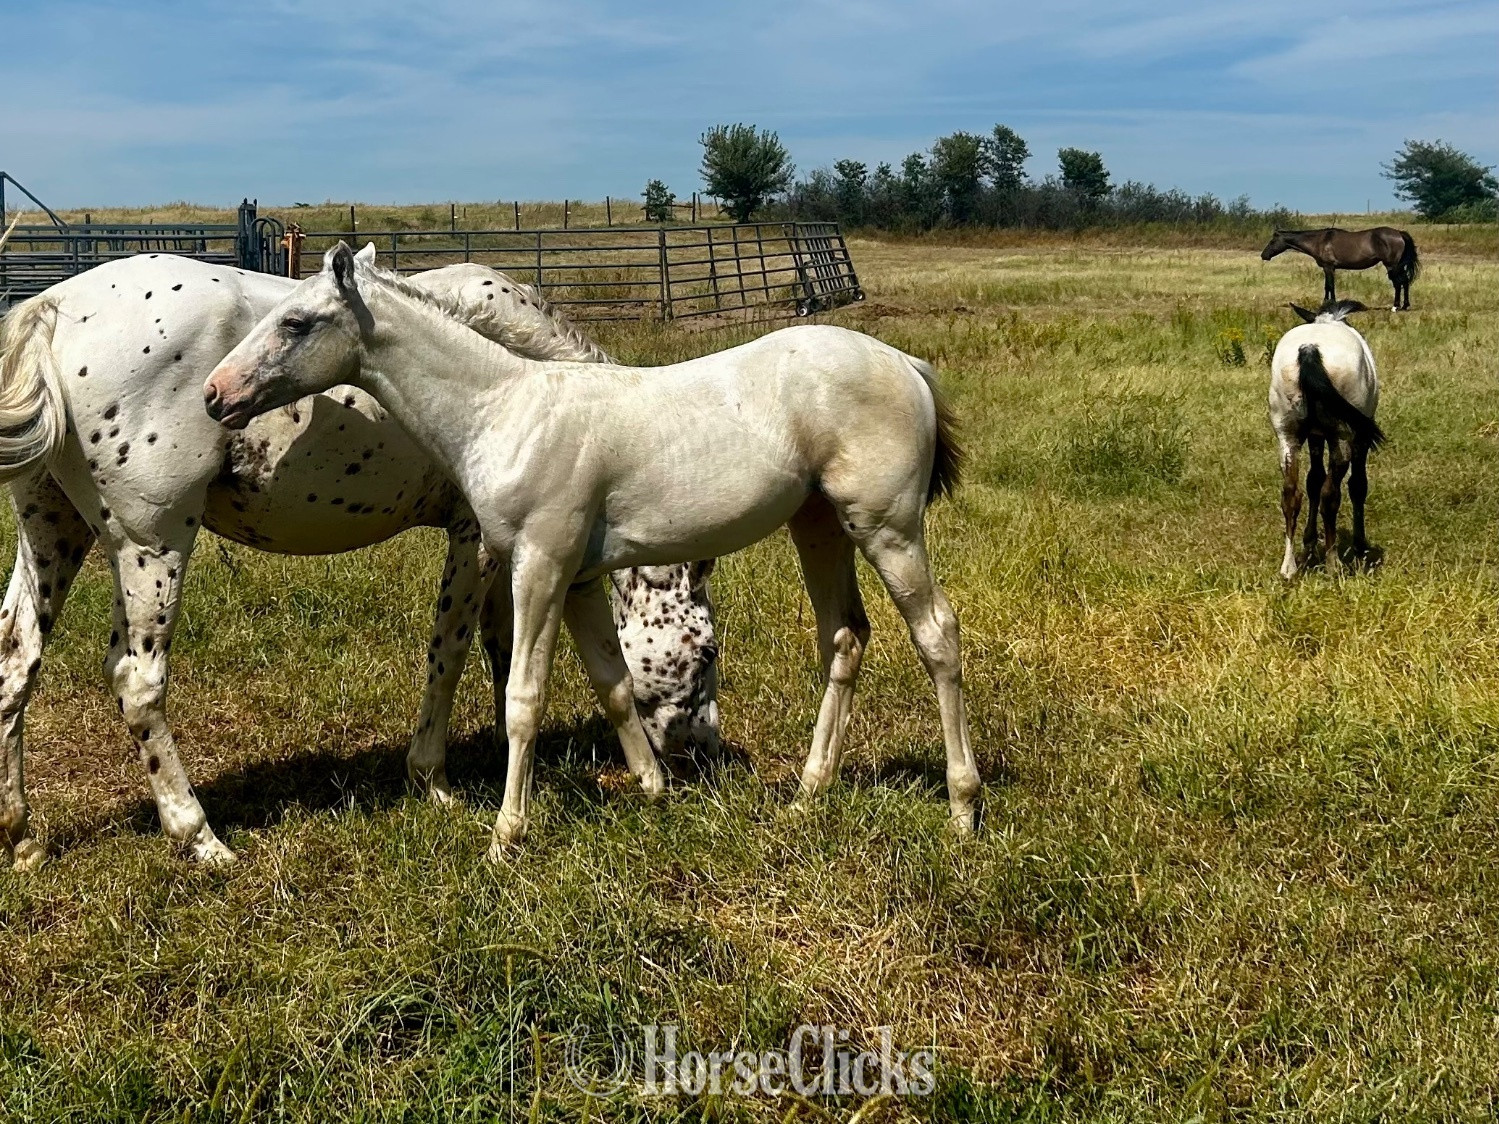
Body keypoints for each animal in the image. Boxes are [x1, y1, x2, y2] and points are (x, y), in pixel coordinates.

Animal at [0, 247, 718, 869]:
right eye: (705, 651)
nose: (703, 755)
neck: (511, 381)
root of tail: (53, 308)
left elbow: (503, 649)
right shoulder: (475, 541)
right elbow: (452, 652)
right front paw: (434, 781)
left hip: (53, 530)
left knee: (16, 661)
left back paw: (24, 839)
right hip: (153, 544)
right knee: (137, 681)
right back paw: (200, 838)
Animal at [205, 243, 981, 855]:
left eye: (296, 322)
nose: (215, 395)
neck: (504, 409)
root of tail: (906, 363)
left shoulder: (539, 566)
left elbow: (523, 696)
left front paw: (506, 835)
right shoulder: (577, 579)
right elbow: (611, 683)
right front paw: (655, 789)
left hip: (887, 528)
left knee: (936, 635)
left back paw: (961, 807)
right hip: (818, 524)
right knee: (844, 636)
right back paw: (808, 796)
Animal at [1260, 227, 1420, 311]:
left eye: (1272, 241)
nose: (1263, 255)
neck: (1319, 241)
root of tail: (1399, 233)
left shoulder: (1328, 267)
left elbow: (1329, 286)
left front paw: (1328, 304)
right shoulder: (1331, 268)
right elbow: (1330, 286)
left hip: (1392, 265)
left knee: (1398, 283)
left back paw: (1395, 307)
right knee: (1405, 282)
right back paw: (1405, 306)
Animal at [1268, 299, 1385, 579]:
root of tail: (1310, 349)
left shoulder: (1314, 436)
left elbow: (1313, 481)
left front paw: (1308, 543)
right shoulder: (1359, 438)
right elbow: (1357, 486)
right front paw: (1360, 545)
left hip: (1288, 437)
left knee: (1291, 495)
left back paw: (1289, 567)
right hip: (1342, 438)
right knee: (1330, 496)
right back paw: (1333, 564)